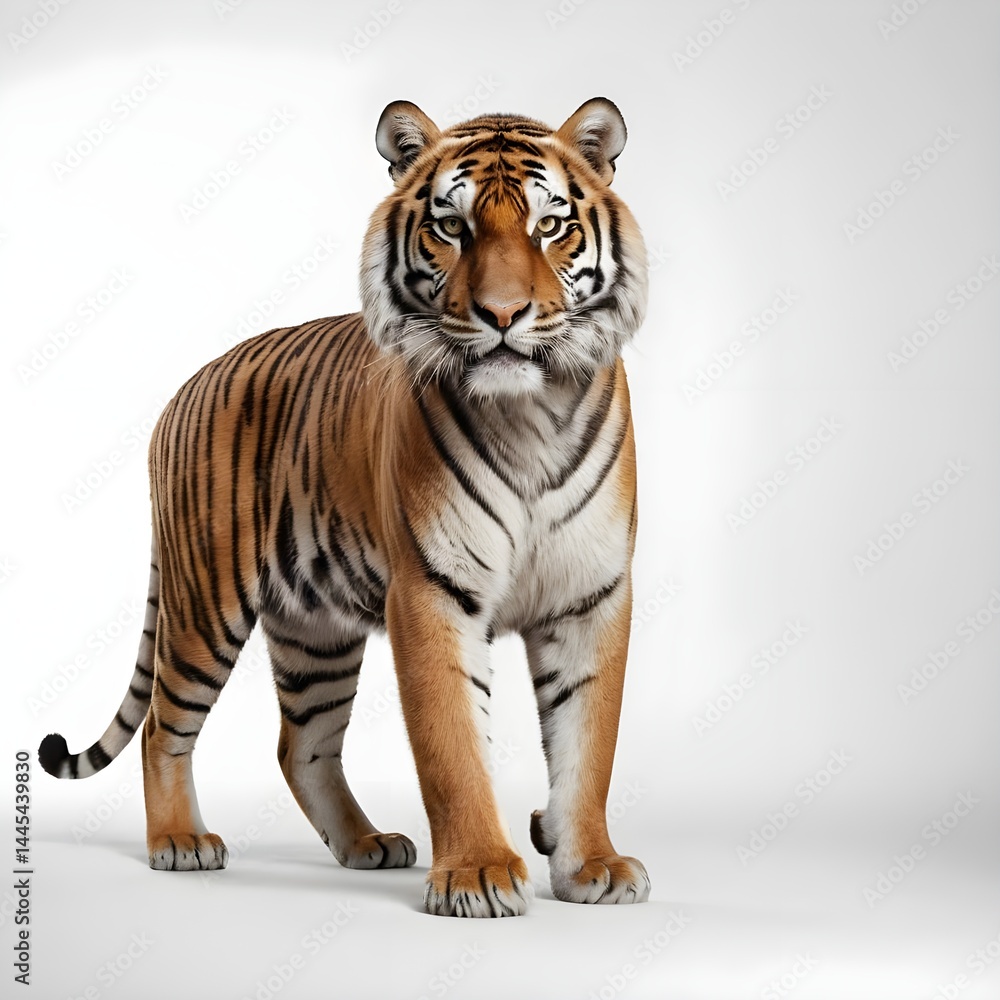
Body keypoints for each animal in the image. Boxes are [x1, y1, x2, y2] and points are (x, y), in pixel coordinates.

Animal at [39, 96, 650, 917]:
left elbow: (591, 743)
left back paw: (366, 844)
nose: (502, 314)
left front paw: (592, 865)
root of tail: (185, 386)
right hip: (204, 604)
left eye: (549, 226)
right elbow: (453, 746)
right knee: (163, 726)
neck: (531, 416)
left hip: (314, 631)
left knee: (302, 744)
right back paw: (180, 840)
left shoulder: (591, 595)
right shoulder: (432, 590)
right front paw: (480, 873)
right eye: (451, 226)